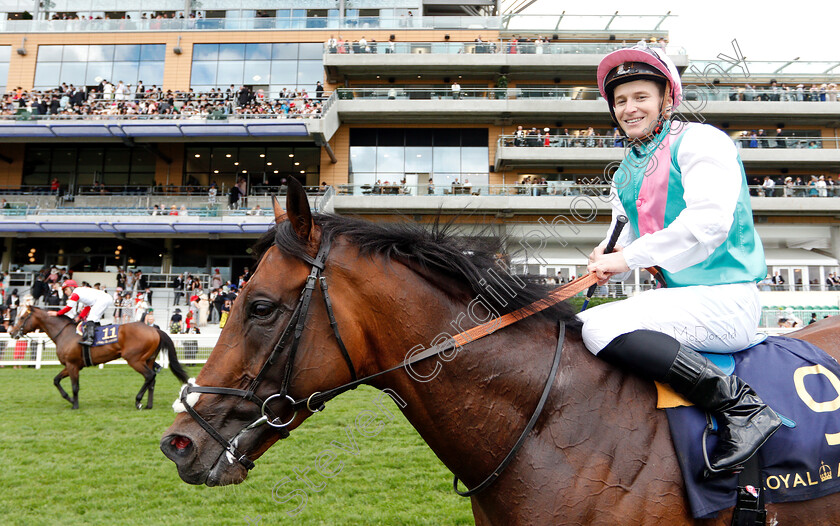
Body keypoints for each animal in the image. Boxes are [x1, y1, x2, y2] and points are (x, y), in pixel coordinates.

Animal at [11, 306, 190, 412]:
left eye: (22, 318)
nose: (12, 332)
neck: (64, 333)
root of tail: (154, 330)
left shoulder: (72, 365)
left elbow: (75, 386)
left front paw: (75, 405)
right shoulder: (71, 365)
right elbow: (56, 380)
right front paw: (69, 399)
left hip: (135, 360)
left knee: (149, 376)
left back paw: (138, 401)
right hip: (149, 359)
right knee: (152, 380)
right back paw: (148, 405)